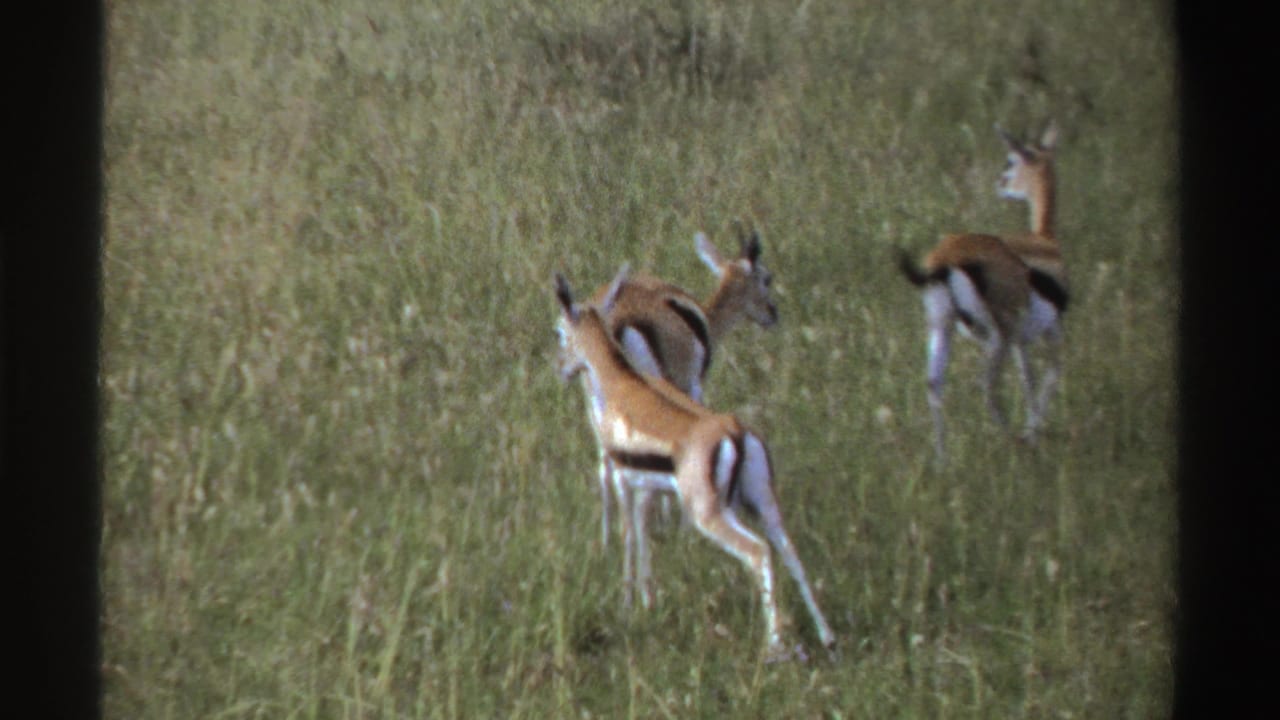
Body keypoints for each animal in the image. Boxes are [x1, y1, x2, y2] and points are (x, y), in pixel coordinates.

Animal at [554, 266, 834, 661]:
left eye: (559, 331)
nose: (561, 369)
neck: (622, 382)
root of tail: (734, 431)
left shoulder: (624, 478)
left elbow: (628, 536)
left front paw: (627, 602)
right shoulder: (648, 487)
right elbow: (643, 535)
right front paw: (647, 602)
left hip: (713, 515)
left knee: (759, 552)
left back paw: (775, 647)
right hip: (764, 507)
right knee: (791, 555)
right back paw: (827, 636)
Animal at [588, 229, 778, 548]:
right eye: (766, 278)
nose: (772, 314)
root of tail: (618, 318)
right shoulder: (692, 385)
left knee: (606, 463)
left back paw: (606, 542)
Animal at [897, 122, 1069, 461]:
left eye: (1010, 162)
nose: (1000, 185)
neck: (1044, 241)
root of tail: (946, 259)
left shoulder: (1020, 340)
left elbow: (1030, 380)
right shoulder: (1046, 330)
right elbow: (1048, 375)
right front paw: (1033, 434)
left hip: (943, 325)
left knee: (934, 383)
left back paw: (942, 460)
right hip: (997, 336)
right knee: (986, 385)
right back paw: (1012, 440)